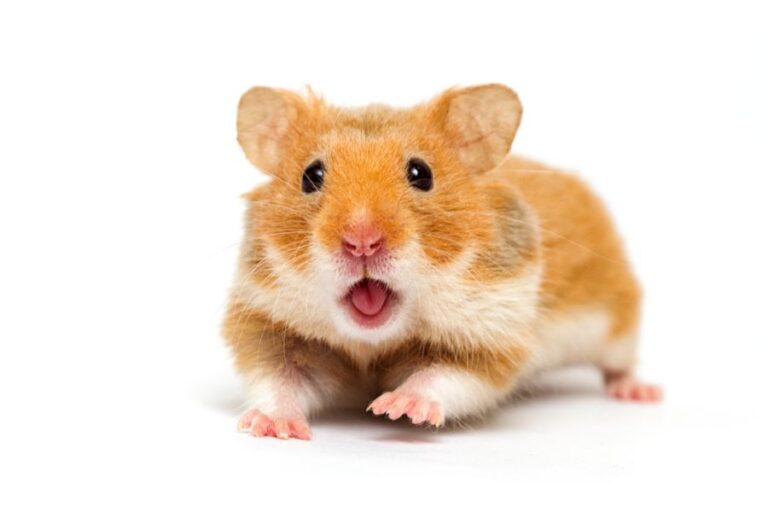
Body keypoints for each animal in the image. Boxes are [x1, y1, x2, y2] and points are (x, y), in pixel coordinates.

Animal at [223, 84, 661, 440]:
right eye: (311, 176)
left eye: (421, 173)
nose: (362, 241)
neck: (373, 342)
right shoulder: (270, 325)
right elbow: (279, 380)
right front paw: (273, 426)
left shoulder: (491, 336)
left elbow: (444, 376)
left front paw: (397, 407)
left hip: (617, 325)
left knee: (619, 364)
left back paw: (640, 392)